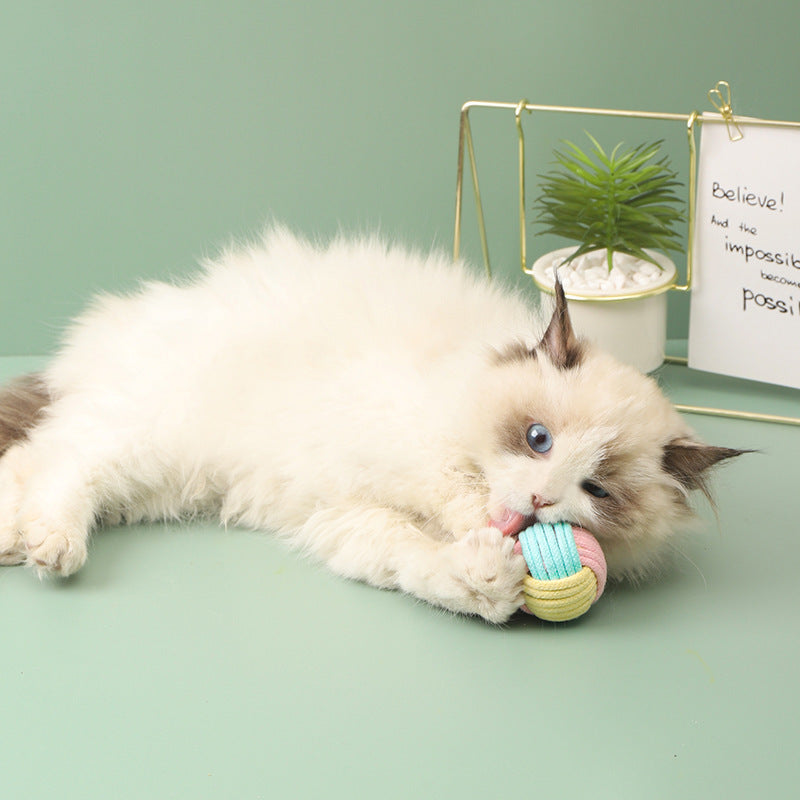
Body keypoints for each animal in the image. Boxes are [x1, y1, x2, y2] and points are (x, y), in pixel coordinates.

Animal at [0, 228, 744, 620]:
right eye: (539, 440)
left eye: (597, 491)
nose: (538, 501)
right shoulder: (398, 445)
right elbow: (452, 498)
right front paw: (484, 548)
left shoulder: (345, 515)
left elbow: (416, 562)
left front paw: (486, 580)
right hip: (154, 438)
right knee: (59, 461)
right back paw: (49, 548)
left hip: (170, 483)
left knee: (37, 460)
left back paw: (15, 541)